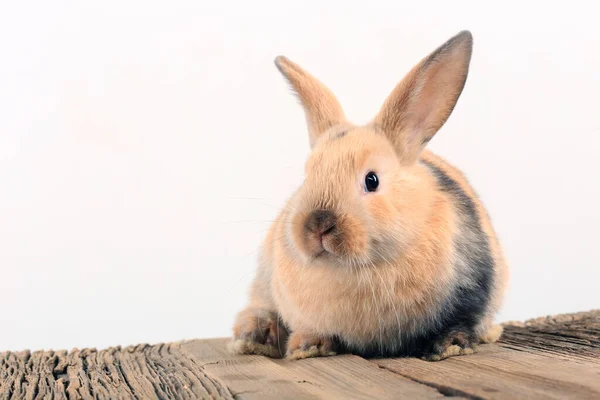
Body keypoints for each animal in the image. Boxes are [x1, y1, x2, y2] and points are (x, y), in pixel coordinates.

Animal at [229, 30, 506, 362]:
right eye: (307, 176)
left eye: (371, 180)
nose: (318, 225)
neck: (356, 269)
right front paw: (308, 347)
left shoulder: (470, 290)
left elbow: (459, 322)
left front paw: (450, 346)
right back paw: (254, 337)